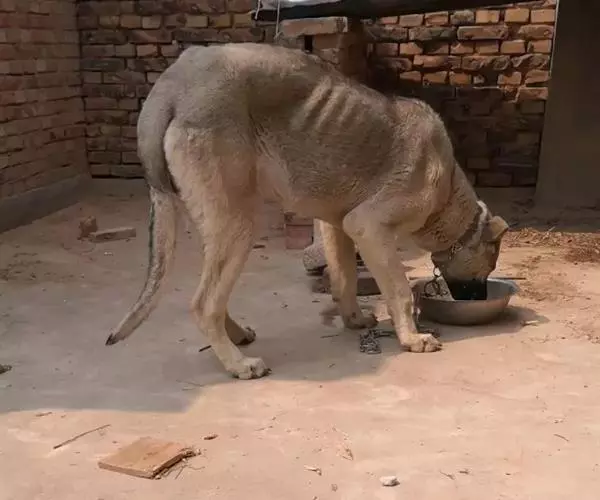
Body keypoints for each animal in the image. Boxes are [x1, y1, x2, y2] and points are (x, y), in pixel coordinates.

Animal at [106, 43, 509, 379]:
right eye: (486, 269)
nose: (476, 299)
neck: (448, 193)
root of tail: (174, 81)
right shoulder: (370, 226)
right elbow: (399, 290)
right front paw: (412, 338)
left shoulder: (340, 226)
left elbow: (344, 279)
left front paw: (354, 319)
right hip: (239, 225)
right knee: (204, 304)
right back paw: (238, 364)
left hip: (218, 223)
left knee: (212, 295)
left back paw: (234, 335)